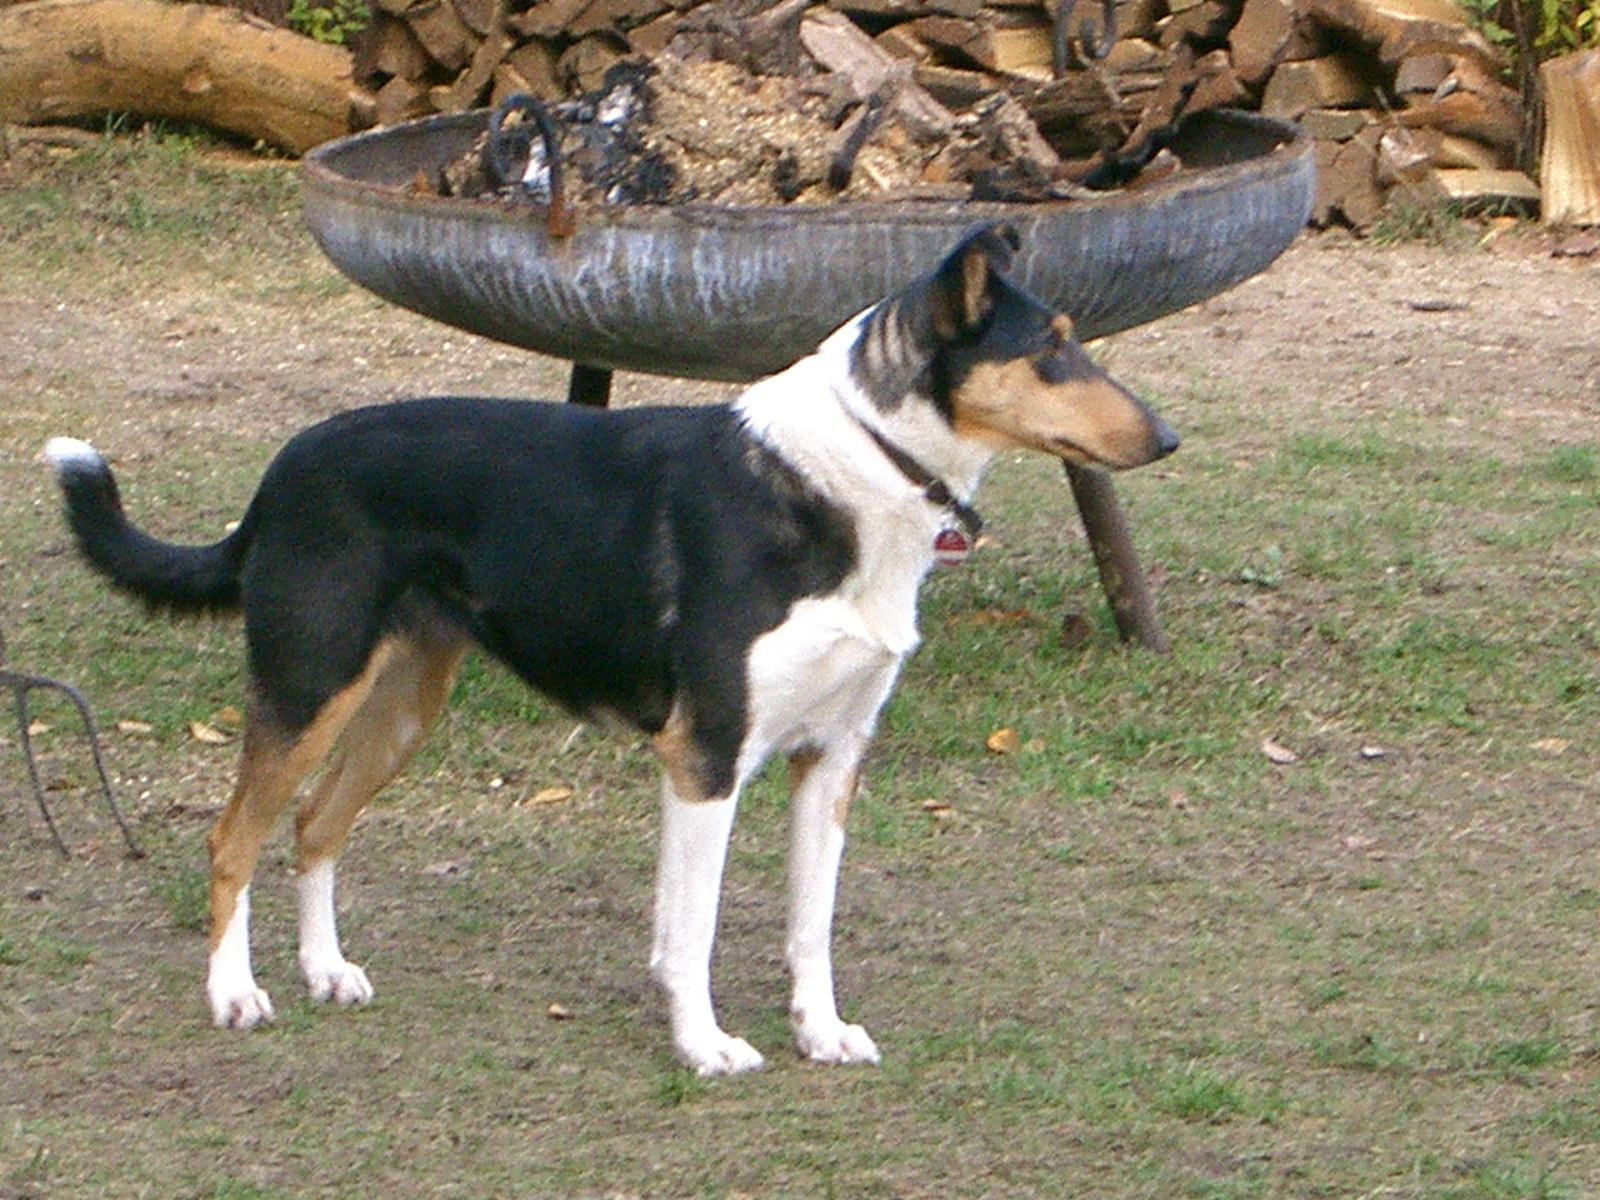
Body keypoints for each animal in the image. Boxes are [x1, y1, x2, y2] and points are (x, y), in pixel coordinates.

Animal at [50, 225, 1177, 1081]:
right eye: (1053, 349)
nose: (1165, 440)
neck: (856, 475)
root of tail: (281, 471)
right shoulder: (705, 757)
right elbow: (696, 929)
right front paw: (706, 1047)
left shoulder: (833, 756)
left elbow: (809, 925)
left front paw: (819, 1035)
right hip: (308, 685)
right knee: (233, 836)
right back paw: (236, 993)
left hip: (402, 704)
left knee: (316, 826)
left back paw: (327, 972)